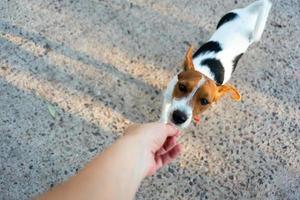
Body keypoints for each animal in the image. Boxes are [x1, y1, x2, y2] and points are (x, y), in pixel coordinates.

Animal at [162, 0, 272, 128]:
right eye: (182, 87)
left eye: (204, 101)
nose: (179, 117)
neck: (205, 71)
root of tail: (247, 13)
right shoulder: (167, 98)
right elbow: (163, 117)